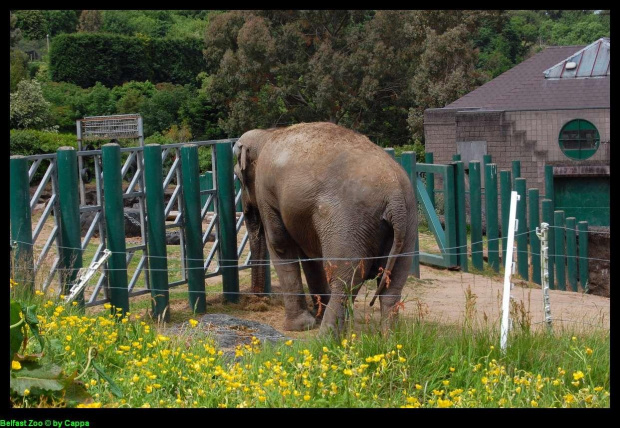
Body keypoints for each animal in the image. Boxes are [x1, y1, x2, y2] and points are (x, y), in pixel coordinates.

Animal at [232, 122, 416, 336]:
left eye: (238, 177)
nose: (256, 302)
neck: (267, 134)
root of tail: (394, 195)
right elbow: (310, 258)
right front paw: (315, 316)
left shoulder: (266, 190)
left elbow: (280, 244)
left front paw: (298, 327)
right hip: (408, 223)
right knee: (392, 285)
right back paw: (390, 338)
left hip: (348, 222)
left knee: (344, 281)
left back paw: (325, 337)